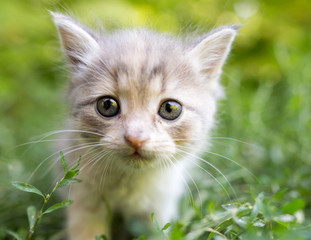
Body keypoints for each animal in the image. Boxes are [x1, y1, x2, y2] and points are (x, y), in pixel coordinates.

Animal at [51, 11, 238, 240]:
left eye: (170, 109)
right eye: (107, 105)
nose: (136, 138)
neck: (130, 181)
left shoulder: (160, 205)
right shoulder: (83, 198)